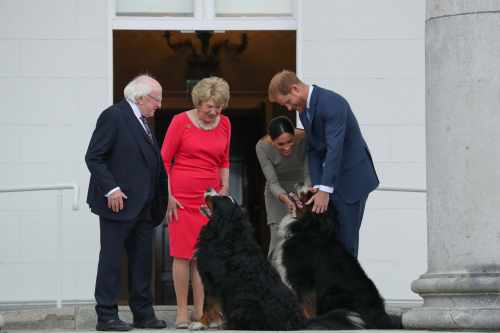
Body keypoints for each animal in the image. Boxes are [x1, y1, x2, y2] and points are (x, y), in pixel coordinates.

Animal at [282, 185, 402, 328]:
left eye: (310, 195)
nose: (301, 183)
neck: (310, 229)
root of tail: (381, 319)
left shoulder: (304, 281)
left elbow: (307, 307)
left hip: (333, 295)